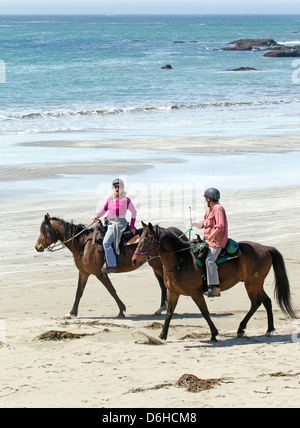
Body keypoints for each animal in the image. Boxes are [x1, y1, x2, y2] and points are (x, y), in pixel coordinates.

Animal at [35, 214, 183, 318]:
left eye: (43, 230)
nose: (37, 247)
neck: (83, 245)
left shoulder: (100, 273)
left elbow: (111, 290)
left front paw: (121, 310)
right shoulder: (83, 272)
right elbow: (79, 292)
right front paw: (71, 313)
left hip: (158, 266)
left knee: (163, 285)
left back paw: (162, 308)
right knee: (162, 285)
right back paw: (161, 308)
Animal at [132, 224, 298, 342]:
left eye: (146, 239)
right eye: (140, 239)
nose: (134, 259)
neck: (181, 261)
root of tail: (266, 248)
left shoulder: (195, 293)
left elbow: (204, 312)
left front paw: (214, 333)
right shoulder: (172, 292)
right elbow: (169, 313)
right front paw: (162, 335)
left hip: (252, 284)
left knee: (256, 303)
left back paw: (243, 328)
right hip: (255, 284)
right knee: (266, 301)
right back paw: (268, 329)